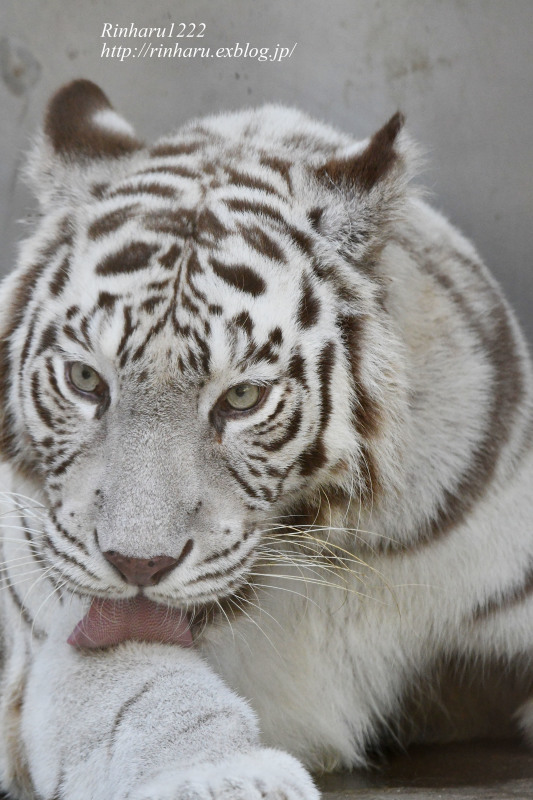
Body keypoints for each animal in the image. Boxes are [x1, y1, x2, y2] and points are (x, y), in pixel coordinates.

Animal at [1, 76, 532, 800]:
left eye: (242, 399)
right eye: (86, 380)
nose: (138, 566)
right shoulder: (64, 631)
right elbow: (149, 696)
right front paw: (229, 777)